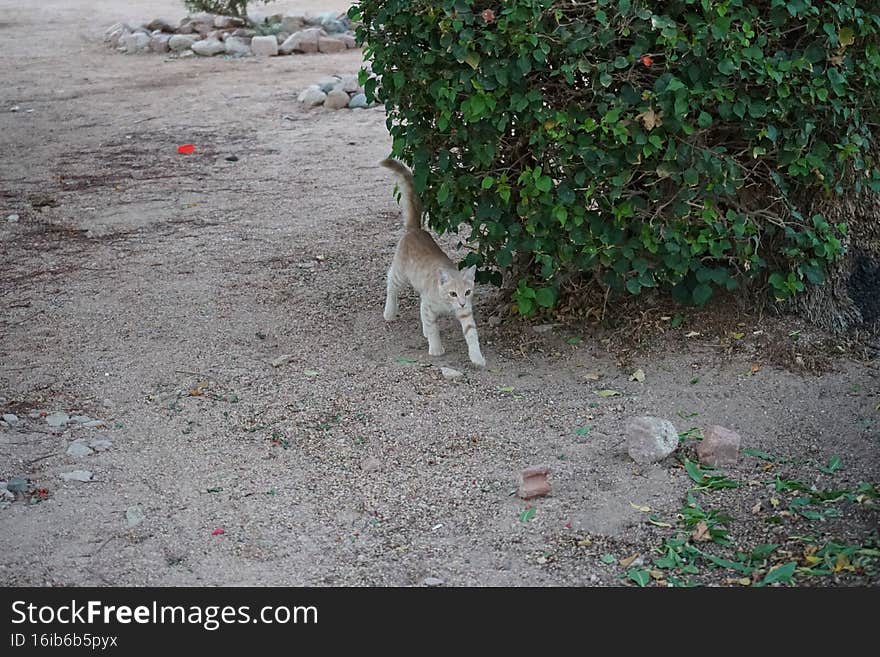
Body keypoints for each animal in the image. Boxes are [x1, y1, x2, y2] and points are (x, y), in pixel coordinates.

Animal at [378, 156, 488, 366]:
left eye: (467, 292)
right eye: (453, 293)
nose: (462, 303)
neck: (447, 305)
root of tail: (416, 229)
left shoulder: (465, 313)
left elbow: (471, 334)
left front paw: (477, 357)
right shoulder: (430, 305)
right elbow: (433, 326)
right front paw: (436, 348)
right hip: (400, 274)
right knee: (391, 284)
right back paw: (389, 312)